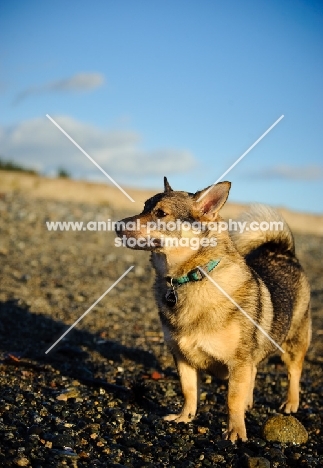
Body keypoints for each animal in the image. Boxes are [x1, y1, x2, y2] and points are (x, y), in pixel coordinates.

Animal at [116, 177, 312, 440]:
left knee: (293, 373)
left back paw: (291, 404)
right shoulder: (183, 358)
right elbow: (189, 391)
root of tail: (282, 250)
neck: (190, 277)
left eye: (161, 213)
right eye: (144, 207)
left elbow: (232, 399)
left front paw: (236, 432)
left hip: (293, 344)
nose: (116, 225)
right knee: (255, 372)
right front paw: (184, 418)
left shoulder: (238, 362)